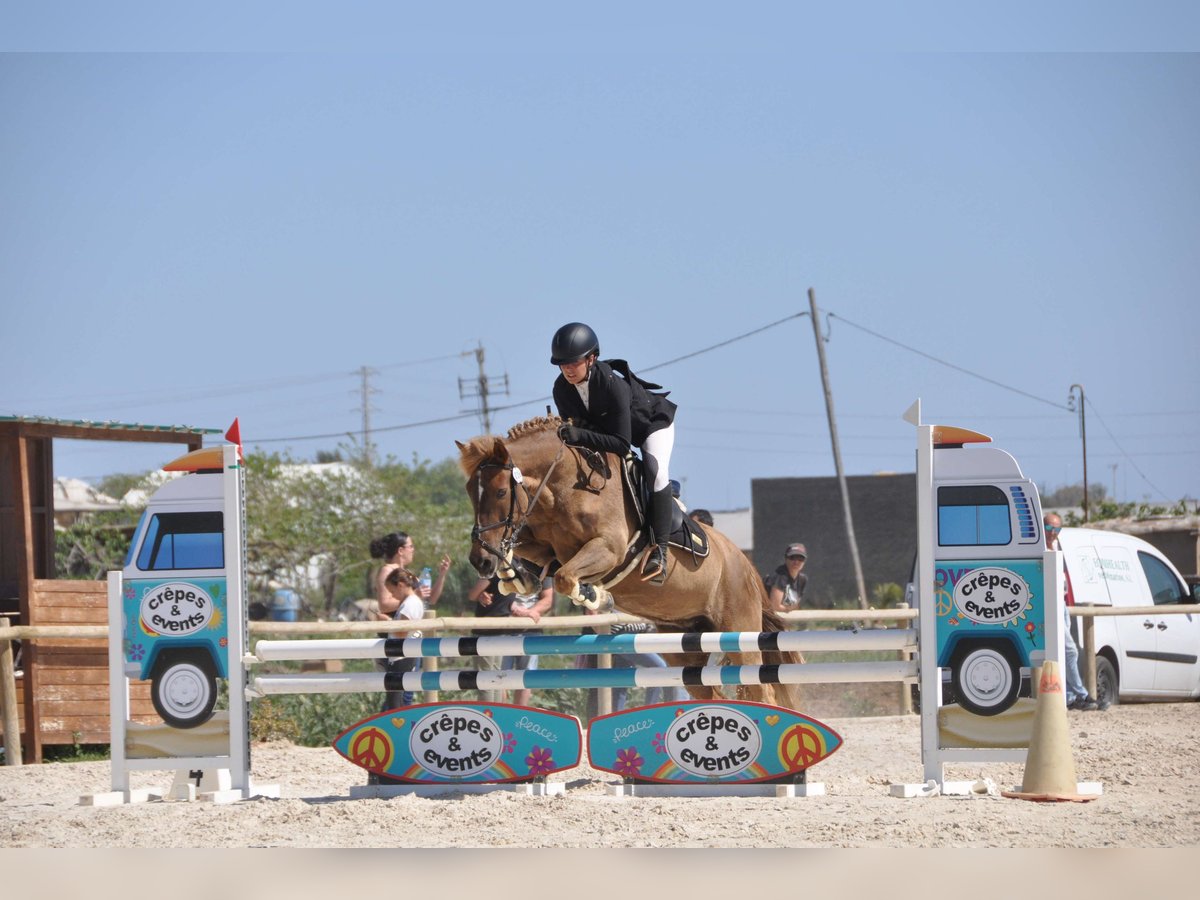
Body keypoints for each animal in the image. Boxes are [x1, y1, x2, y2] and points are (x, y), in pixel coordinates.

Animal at [453, 415, 801, 710]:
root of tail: (746, 565)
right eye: (469, 491)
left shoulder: (609, 549)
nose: (480, 561)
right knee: (709, 690)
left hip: (738, 630)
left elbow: (566, 577)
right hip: (683, 640)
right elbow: (540, 558)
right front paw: (513, 574)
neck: (566, 488)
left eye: (500, 492)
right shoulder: (545, 544)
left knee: (761, 689)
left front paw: (595, 595)